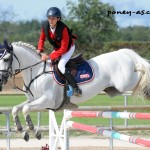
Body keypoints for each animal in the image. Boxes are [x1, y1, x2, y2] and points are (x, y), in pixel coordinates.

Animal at [0, 40, 150, 141]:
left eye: (6, 59)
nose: (1, 81)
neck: (36, 72)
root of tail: (123, 53)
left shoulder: (47, 101)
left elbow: (25, 109)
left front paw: (33, 130)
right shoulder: (33, 100)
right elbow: (16, 108)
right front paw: (22, 130)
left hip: (125, 83)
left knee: (141, 71)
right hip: (116, 89)